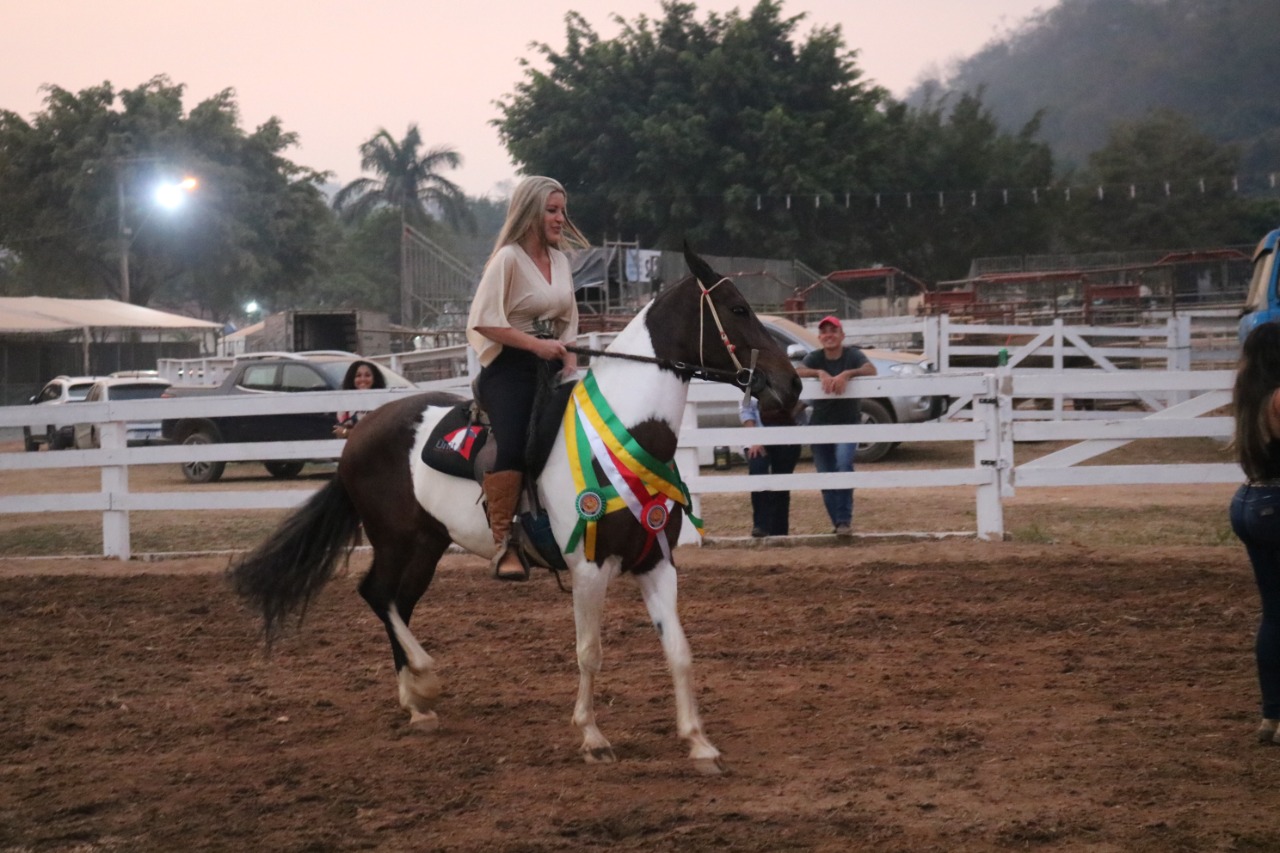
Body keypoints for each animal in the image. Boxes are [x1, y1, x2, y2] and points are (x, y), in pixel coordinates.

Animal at [229, 247, 801, 774]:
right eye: (738, 308)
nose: (791, 384)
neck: (627, 430)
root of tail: (360, 431)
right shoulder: (589, 567)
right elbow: (590, 652)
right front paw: (592, 738)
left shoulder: (656, 561)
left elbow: (679, 651)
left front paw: (699, 744)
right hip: (394, 538)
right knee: (377, 594)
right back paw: (426, 682)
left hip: (428, 544)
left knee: (398, 601)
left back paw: (415, 704)